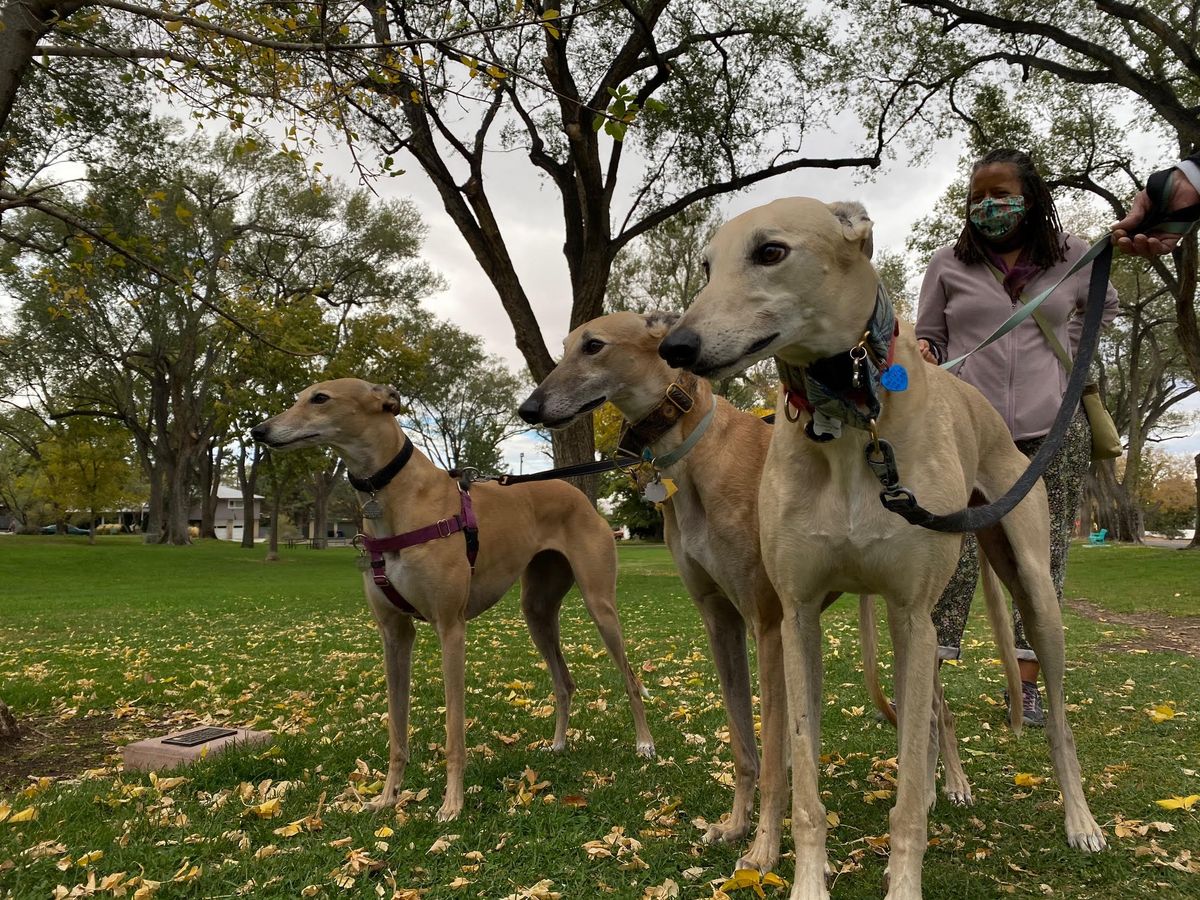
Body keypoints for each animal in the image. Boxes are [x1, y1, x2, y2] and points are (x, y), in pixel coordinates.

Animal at [247, 381, 652, 825]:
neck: (395, 499)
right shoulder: (394, 634)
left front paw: (451, 804)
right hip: (537, 611)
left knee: (630, 678)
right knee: (564, 681)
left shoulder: (451, 628)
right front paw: (387, 797)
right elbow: (396, 730)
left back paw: (645, 745)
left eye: (320, 398)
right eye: (300, 396)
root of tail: (575, 493)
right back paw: (559, 744)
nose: (258, 431)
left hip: (600, 604)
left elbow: (454, 732)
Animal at [657, 200, 1104, 897]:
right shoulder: (798, 616)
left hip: (1029, 592)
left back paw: (1078, 820)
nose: (675, 346)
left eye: (770, 252)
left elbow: (905, 788)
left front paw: (903, 877)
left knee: (1056, 719)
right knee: (930, 716)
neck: (847, 417)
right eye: (706, 265)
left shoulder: (909, 610)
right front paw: (806, 878)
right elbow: (806, 776)